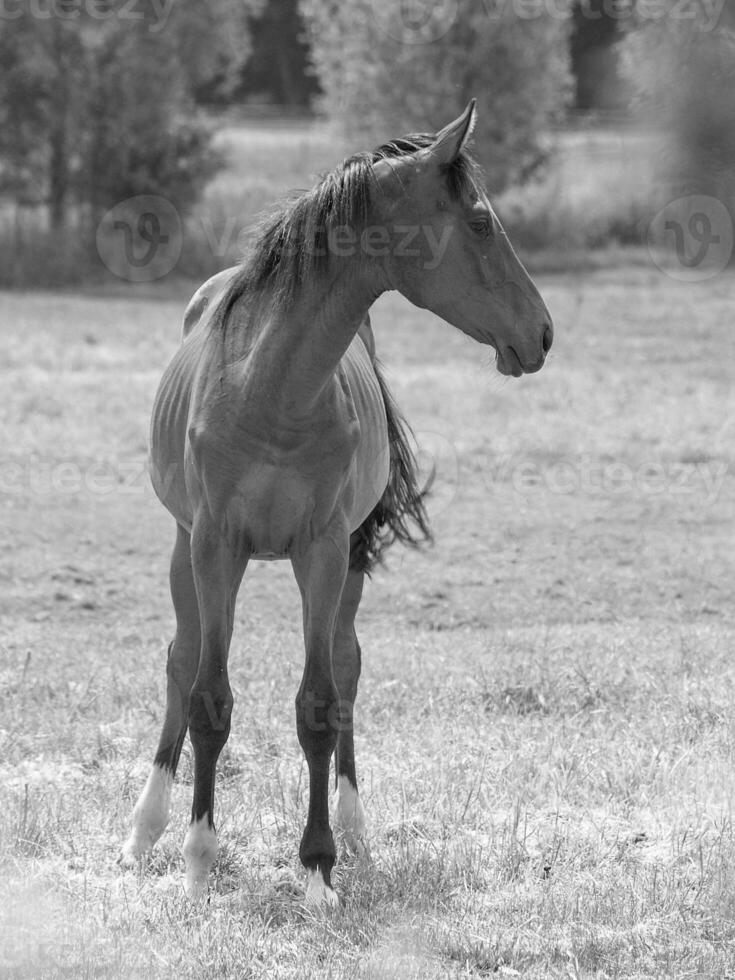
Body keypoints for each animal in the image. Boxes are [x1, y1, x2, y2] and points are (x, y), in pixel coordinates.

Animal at [119, 101, 552, 912]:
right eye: (480, 221)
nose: (541, 332)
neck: (270, 387)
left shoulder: (322, 550)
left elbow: (319, 702)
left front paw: (318, 870)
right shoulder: (215, 545)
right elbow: (208, 697)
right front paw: (198, 863)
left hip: (343, 559)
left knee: (346, 668)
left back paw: (355, 834)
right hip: (183, 546)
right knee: (181, 661)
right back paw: (143, 831)